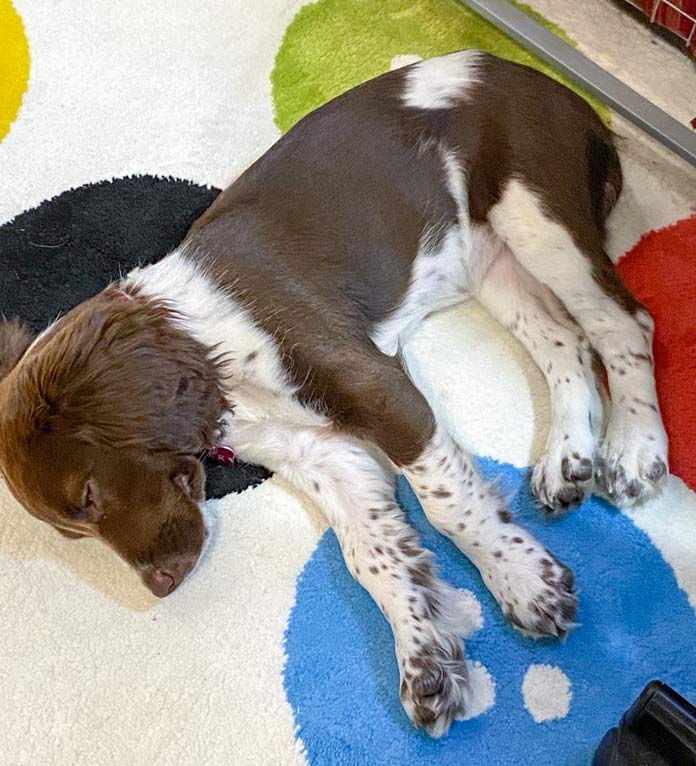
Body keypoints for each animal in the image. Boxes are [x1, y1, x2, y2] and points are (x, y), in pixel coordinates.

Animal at [0, 52, 668, 736]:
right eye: (74, 536)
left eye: (88, 495)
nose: (160, 588)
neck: (211, 348)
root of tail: (571, 98)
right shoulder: (319, 453)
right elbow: (371, 551)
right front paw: (425, 661)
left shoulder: (380, 390)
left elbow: (446, 506)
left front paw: (524, 583)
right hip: (490, 258)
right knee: (566, 340)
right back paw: (567, 457)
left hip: (537, 214)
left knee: (622, 325)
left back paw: (634, 451)